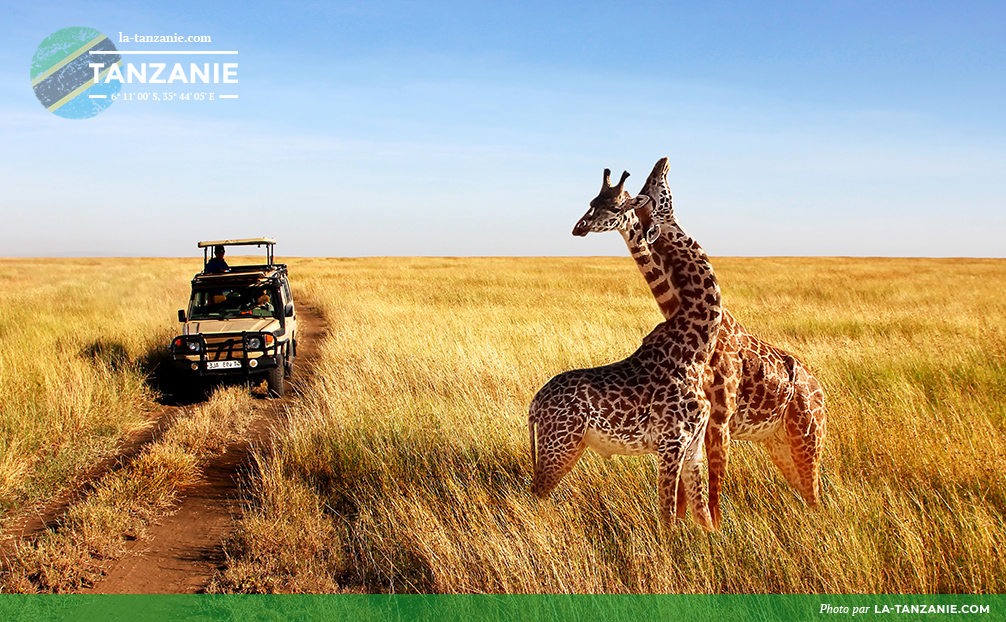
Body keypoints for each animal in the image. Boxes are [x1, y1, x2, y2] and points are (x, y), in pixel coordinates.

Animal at [575, 157, 824, 527]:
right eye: (593, 201)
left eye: (618, 203)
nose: (579, 227)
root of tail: (819, 388)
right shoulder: (693, 424)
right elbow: (686, 493)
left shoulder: (717, 420)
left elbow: (710, 492)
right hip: (778, 441)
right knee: (806, 493)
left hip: (807, 436)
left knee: (814, 493)